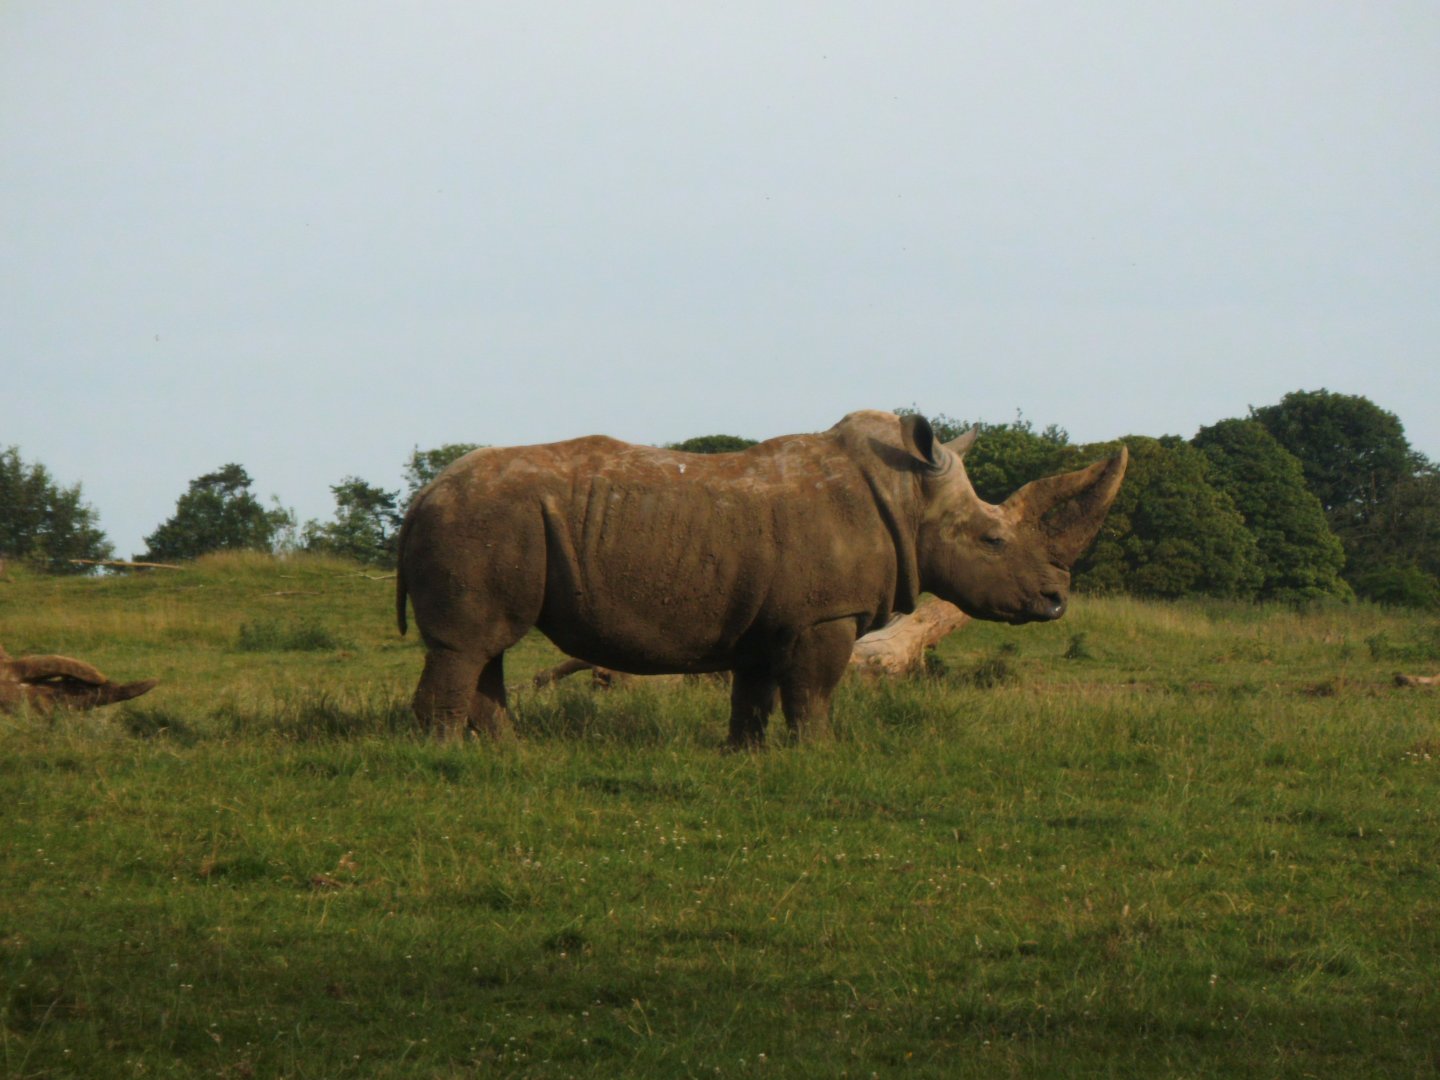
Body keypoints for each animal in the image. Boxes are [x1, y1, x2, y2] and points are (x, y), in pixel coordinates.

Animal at [396, 410, 1126, 746]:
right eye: (994, 540)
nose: (1056, 601)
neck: (912, 497)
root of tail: (421, 495)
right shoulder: (824, 615)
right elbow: (814, 691)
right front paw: (820, 754)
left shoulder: (767, 617)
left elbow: (754, 692)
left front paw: (744, 754)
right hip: (484, 519)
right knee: (470, 643)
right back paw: (448, 755)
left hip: (495, 522)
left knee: (487, 646)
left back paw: (508, 752)